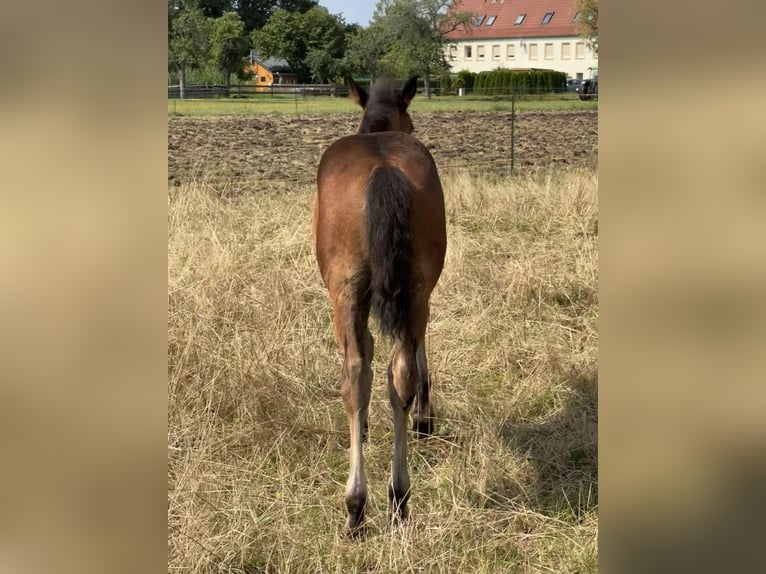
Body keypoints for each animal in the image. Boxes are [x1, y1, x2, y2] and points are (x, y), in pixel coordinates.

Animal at [312, 77, 448, 536]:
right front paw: (422, 419)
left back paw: (356, 506)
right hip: (415, 287)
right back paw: (399, 498)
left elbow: (367, 356)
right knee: (401, 371)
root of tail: (381, 169)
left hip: (347, 293)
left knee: (356, 375)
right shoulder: (416, 292)